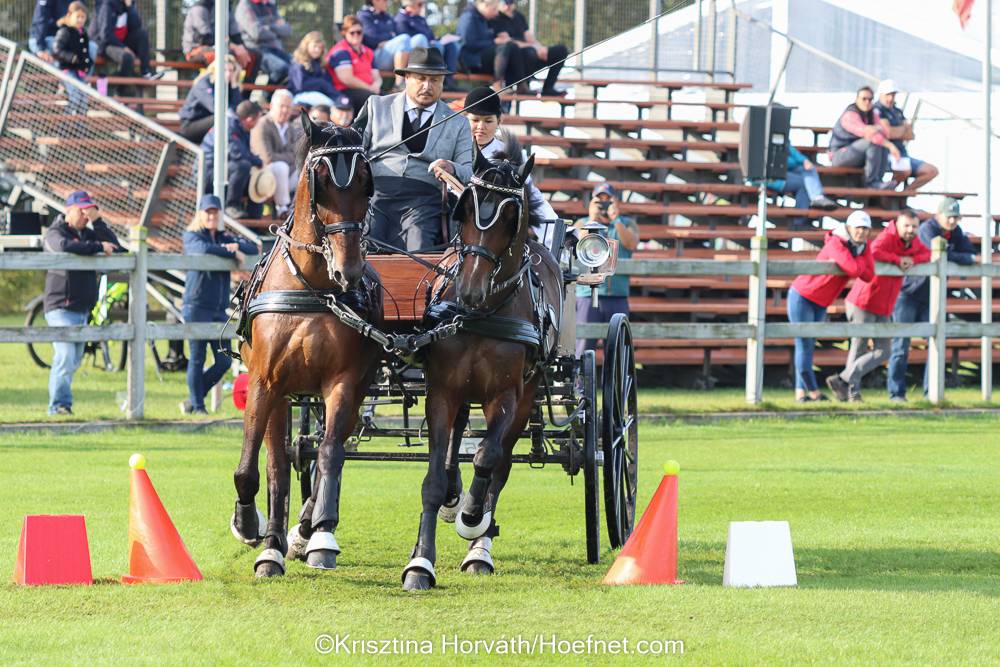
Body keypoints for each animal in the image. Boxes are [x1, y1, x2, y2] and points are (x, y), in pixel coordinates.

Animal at [230, 118, 383, 577]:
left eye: (366, 181)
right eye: (321, 182)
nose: (349, 270)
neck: (311, 288)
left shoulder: (344, 385)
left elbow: (330, 455)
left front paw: (319, 534)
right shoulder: (265, 383)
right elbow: (257, 468)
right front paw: (255, 532)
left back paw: (304, 529)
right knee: (279, 461)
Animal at [400, 146, 563, 590]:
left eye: (510, 217)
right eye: (465, 210)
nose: (471, 289)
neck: (479, 313)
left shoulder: (505, 395)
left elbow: (488, 458)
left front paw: (474, 518)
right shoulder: (442, 390)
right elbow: (434, 478)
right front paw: (420, 563)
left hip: (526, 396)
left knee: (500, 464)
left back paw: (479, 547)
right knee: (457, 442)